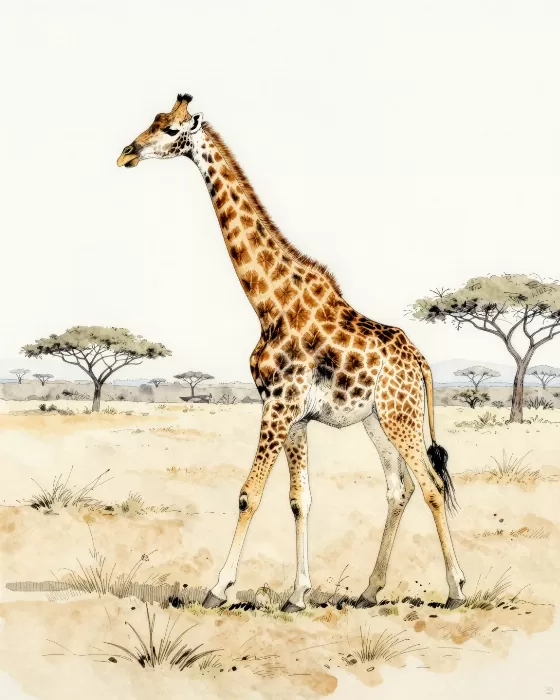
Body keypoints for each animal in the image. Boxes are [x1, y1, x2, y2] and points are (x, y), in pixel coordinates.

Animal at [117, 94, 466, 612]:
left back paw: (457, 590)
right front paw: (298, 595)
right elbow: (301, 498)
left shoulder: (279, 406)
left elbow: (249, 493)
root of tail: (420, 362)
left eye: (171, 129)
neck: (268, 303)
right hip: (377, 421)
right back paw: (368, 591)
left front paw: (218, 589)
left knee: (431, 485)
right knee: (398, 488)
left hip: (400, 418)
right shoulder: (294, 415)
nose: (127, 154)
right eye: (154, 121)